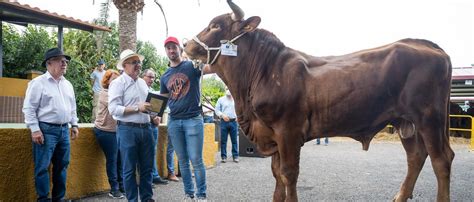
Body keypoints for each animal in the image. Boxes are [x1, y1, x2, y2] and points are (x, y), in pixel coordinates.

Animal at [183, 1, 454, 200]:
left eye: (215, 25)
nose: (186, 44)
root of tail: (428, 46)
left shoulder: (288, 131)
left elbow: (289, 174)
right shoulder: (272, 134)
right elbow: (276, 175)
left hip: (429, 117)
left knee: (441, 160)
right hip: (405, 122)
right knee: (416, 157)